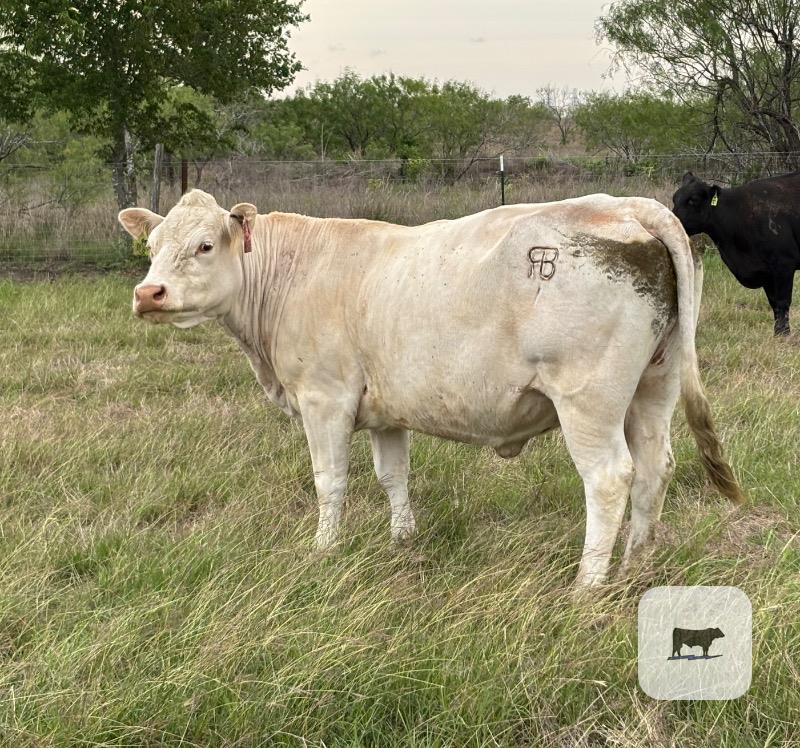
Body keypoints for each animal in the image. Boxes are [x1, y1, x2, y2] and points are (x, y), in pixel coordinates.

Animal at [119, 189, 745, 587]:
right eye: (151, 247)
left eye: (204, 245)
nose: (148, 293)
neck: (294, 273)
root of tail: (625, 207)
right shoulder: (384, 409)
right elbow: (392, 475)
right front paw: (403, 538)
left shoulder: (325, 398)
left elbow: (330, 481)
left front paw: (325, 549)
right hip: (655, 386)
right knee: (656, 468)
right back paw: (636, 565)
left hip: (588, 400)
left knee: (611, 478)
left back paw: (588, 585)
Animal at [672, 171, 800, 336]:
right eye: (675, 198)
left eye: (693, 200)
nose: (672, 219)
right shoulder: (766, 272)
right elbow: (773, 303)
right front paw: (778, 332)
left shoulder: (784, 264)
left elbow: (782, 301)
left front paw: (783, 334)